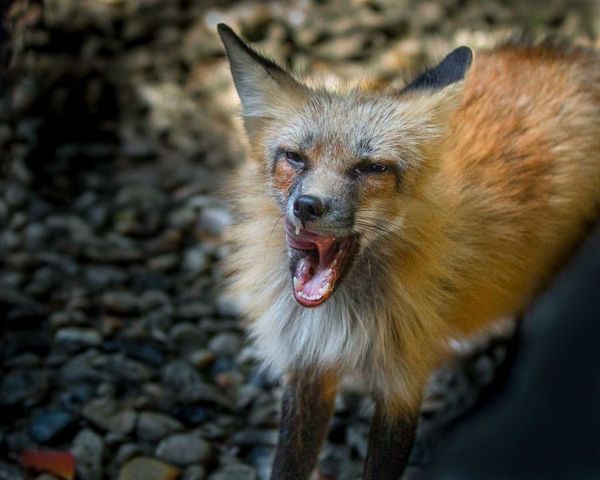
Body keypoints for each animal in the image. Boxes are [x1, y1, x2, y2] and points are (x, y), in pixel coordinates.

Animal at [217, 23, 600, 480]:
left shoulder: (403, 379)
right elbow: (288, 466)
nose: (307, 206)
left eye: (372, 168)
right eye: (294, 157)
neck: (340, 319)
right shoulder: (307, 367)